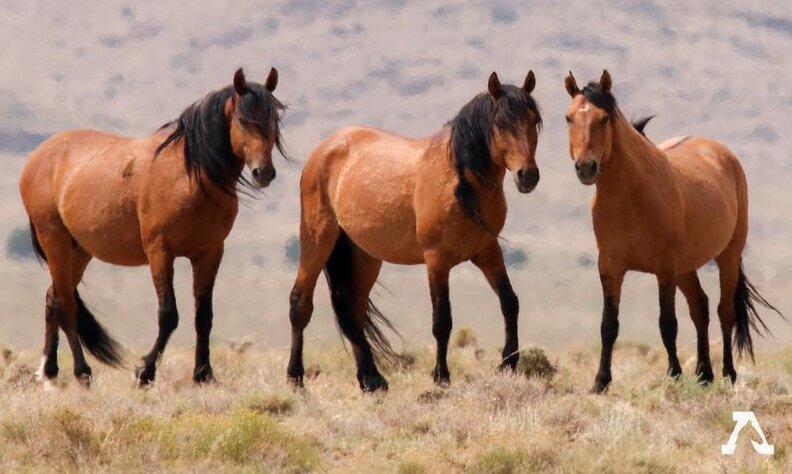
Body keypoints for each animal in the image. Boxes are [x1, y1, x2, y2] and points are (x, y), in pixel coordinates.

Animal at [19, 67, 286, 387]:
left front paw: (203, 374)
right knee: (65, 304)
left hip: (79, 250)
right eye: (243, 119)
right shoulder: (160, 251)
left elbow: (204, 315)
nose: (264, 172)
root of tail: (39, 155)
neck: (190, 176)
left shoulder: (209, 254)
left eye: (275, 119)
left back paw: (48, 371)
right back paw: (81, 372)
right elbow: (168, 315)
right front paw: (145, 371)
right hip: (54, 240)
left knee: (53, 298)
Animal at [287, 71, 542, 391]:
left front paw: (508, 363)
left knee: (352, 311)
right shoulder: (436, 260)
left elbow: (510, 302)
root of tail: (324, 149)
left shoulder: (488, 251)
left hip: (365, 255)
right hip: (318, 239)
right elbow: (442, 320)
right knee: (300, 302)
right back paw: (296, 376)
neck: (460, 180)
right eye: (501, 123)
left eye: (533, 120)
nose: (528, 176)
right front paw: (441, 376)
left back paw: (371, 379)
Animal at [563, 70, 783, 393]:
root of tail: (721, 153)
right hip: (686, 268)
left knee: (724, 311)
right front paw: (600, 382)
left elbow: (667, 324)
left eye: (603, 118)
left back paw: (728, 373)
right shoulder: (610, 268)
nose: (585, 168)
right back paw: (704, 374)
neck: (630, 196)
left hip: (727, 256)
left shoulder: (664, 269)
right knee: (700, 307)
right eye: (569, 118)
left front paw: (675, 374)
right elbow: (609, 325)